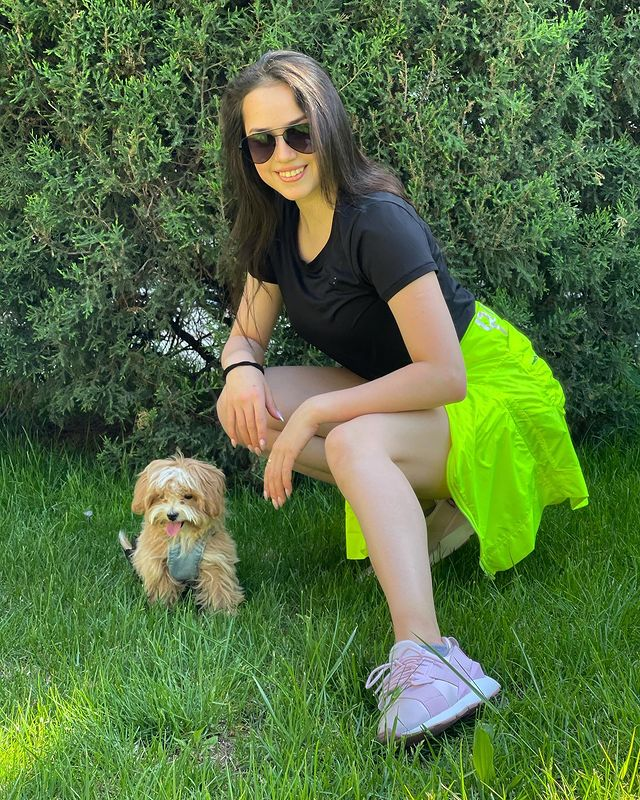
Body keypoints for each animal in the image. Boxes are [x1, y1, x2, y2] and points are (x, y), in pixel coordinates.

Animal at [118, 454, 244, 613]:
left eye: (188, 496)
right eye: (161, 496)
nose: (172, 515)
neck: (183, 537)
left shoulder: (215, 560)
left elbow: (218, 587)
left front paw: (221, 612)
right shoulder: (157, 563)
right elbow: (162, 587)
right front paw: (162, 608)